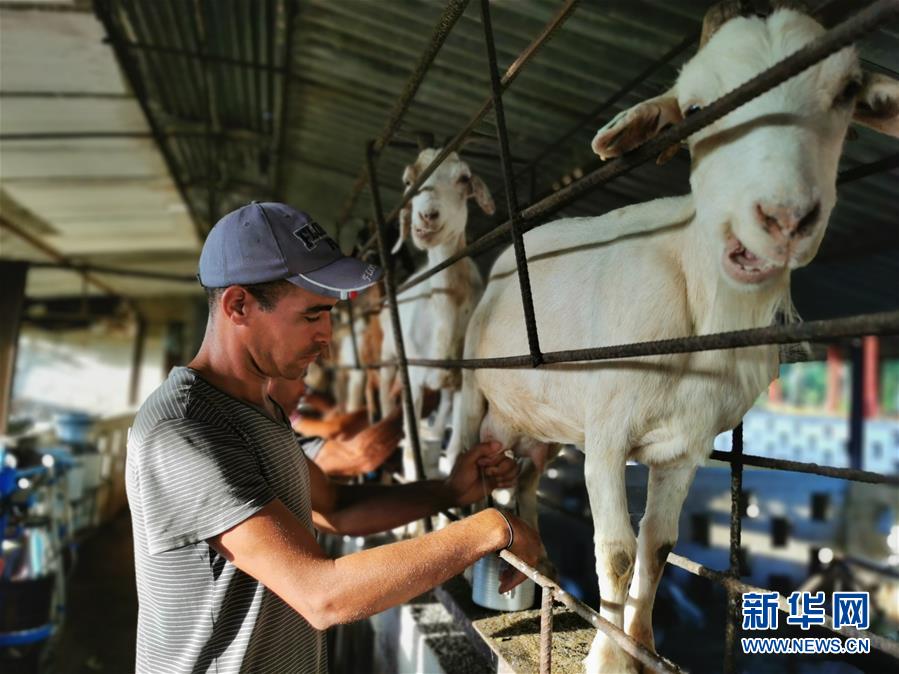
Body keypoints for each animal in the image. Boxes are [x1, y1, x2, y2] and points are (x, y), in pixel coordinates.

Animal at [378, 147, 496, 478]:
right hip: (388, 353)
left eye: (464, 178)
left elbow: (456, 450)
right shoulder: (413, 377)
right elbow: (411, 449)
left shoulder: (462, 380)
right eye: (408, 181)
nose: (427, 216)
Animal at [448, 2, 899, 668]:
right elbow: (615, 550)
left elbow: (657, 546)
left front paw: (642, 647)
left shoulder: (687, 446)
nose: (784, 218)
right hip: (475, 390)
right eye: (695, 109)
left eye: (845, 93)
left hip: (543, 426)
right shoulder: (607, 435)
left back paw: (539, 563)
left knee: (525, 476)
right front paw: (606, 659)